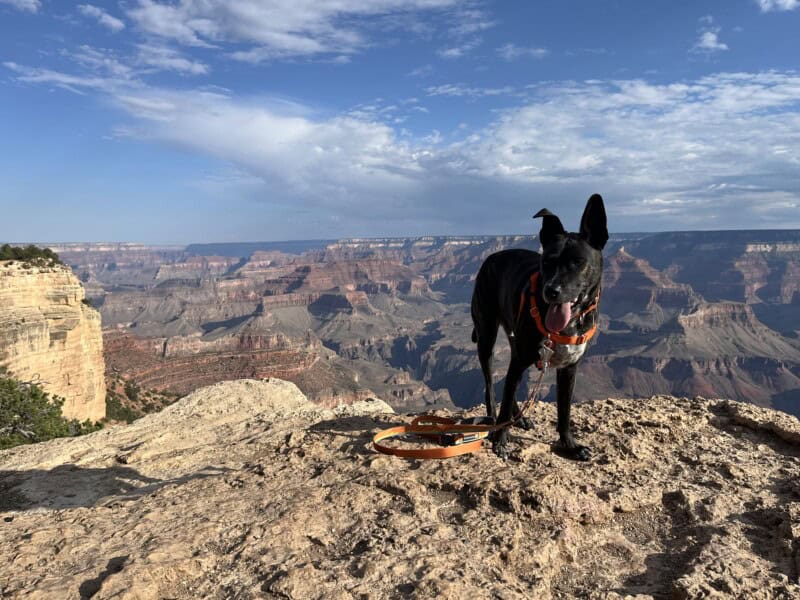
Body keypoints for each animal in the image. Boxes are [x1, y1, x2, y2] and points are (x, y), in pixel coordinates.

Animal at [468, 195, 608, 462]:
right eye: (547, 261)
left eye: (578, 262)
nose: (551, 291)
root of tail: (492, 257)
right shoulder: (519, 357)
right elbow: (505, 397)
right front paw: (500, 440)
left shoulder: (569, 368)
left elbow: (564, 411)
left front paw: (570, 445)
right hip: (486, 335)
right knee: (492, 387)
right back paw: (495, 422)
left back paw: (519, 419)